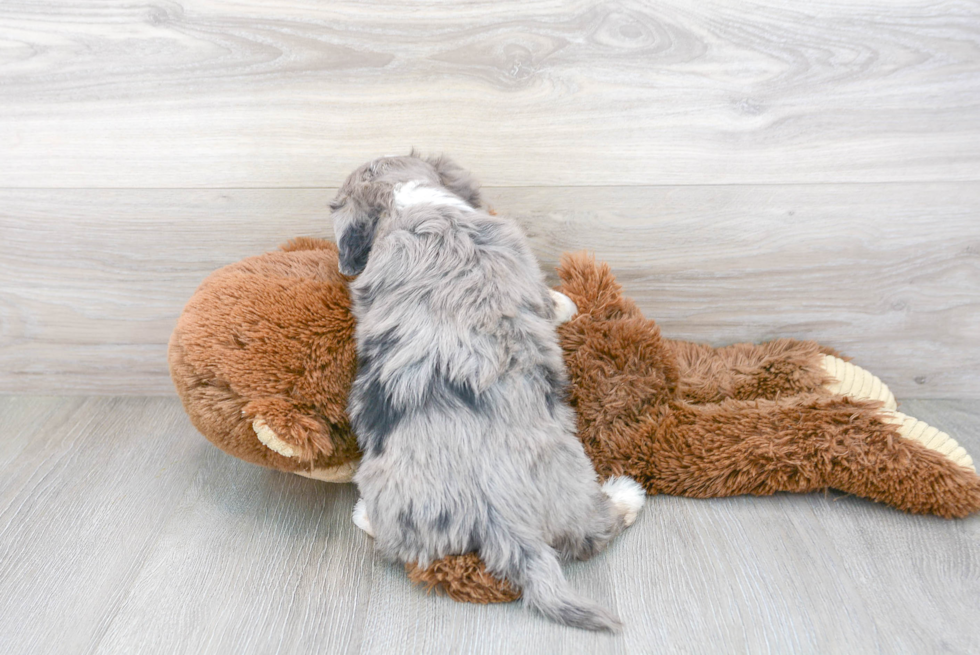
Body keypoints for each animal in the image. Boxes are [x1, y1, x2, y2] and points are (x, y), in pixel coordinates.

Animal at [334, 152, 648, 632]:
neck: (410, 201)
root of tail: (500, 514)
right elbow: (553, 302)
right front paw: (567, 304)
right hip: (574, 485)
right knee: (596, 530)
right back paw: (627, 494)